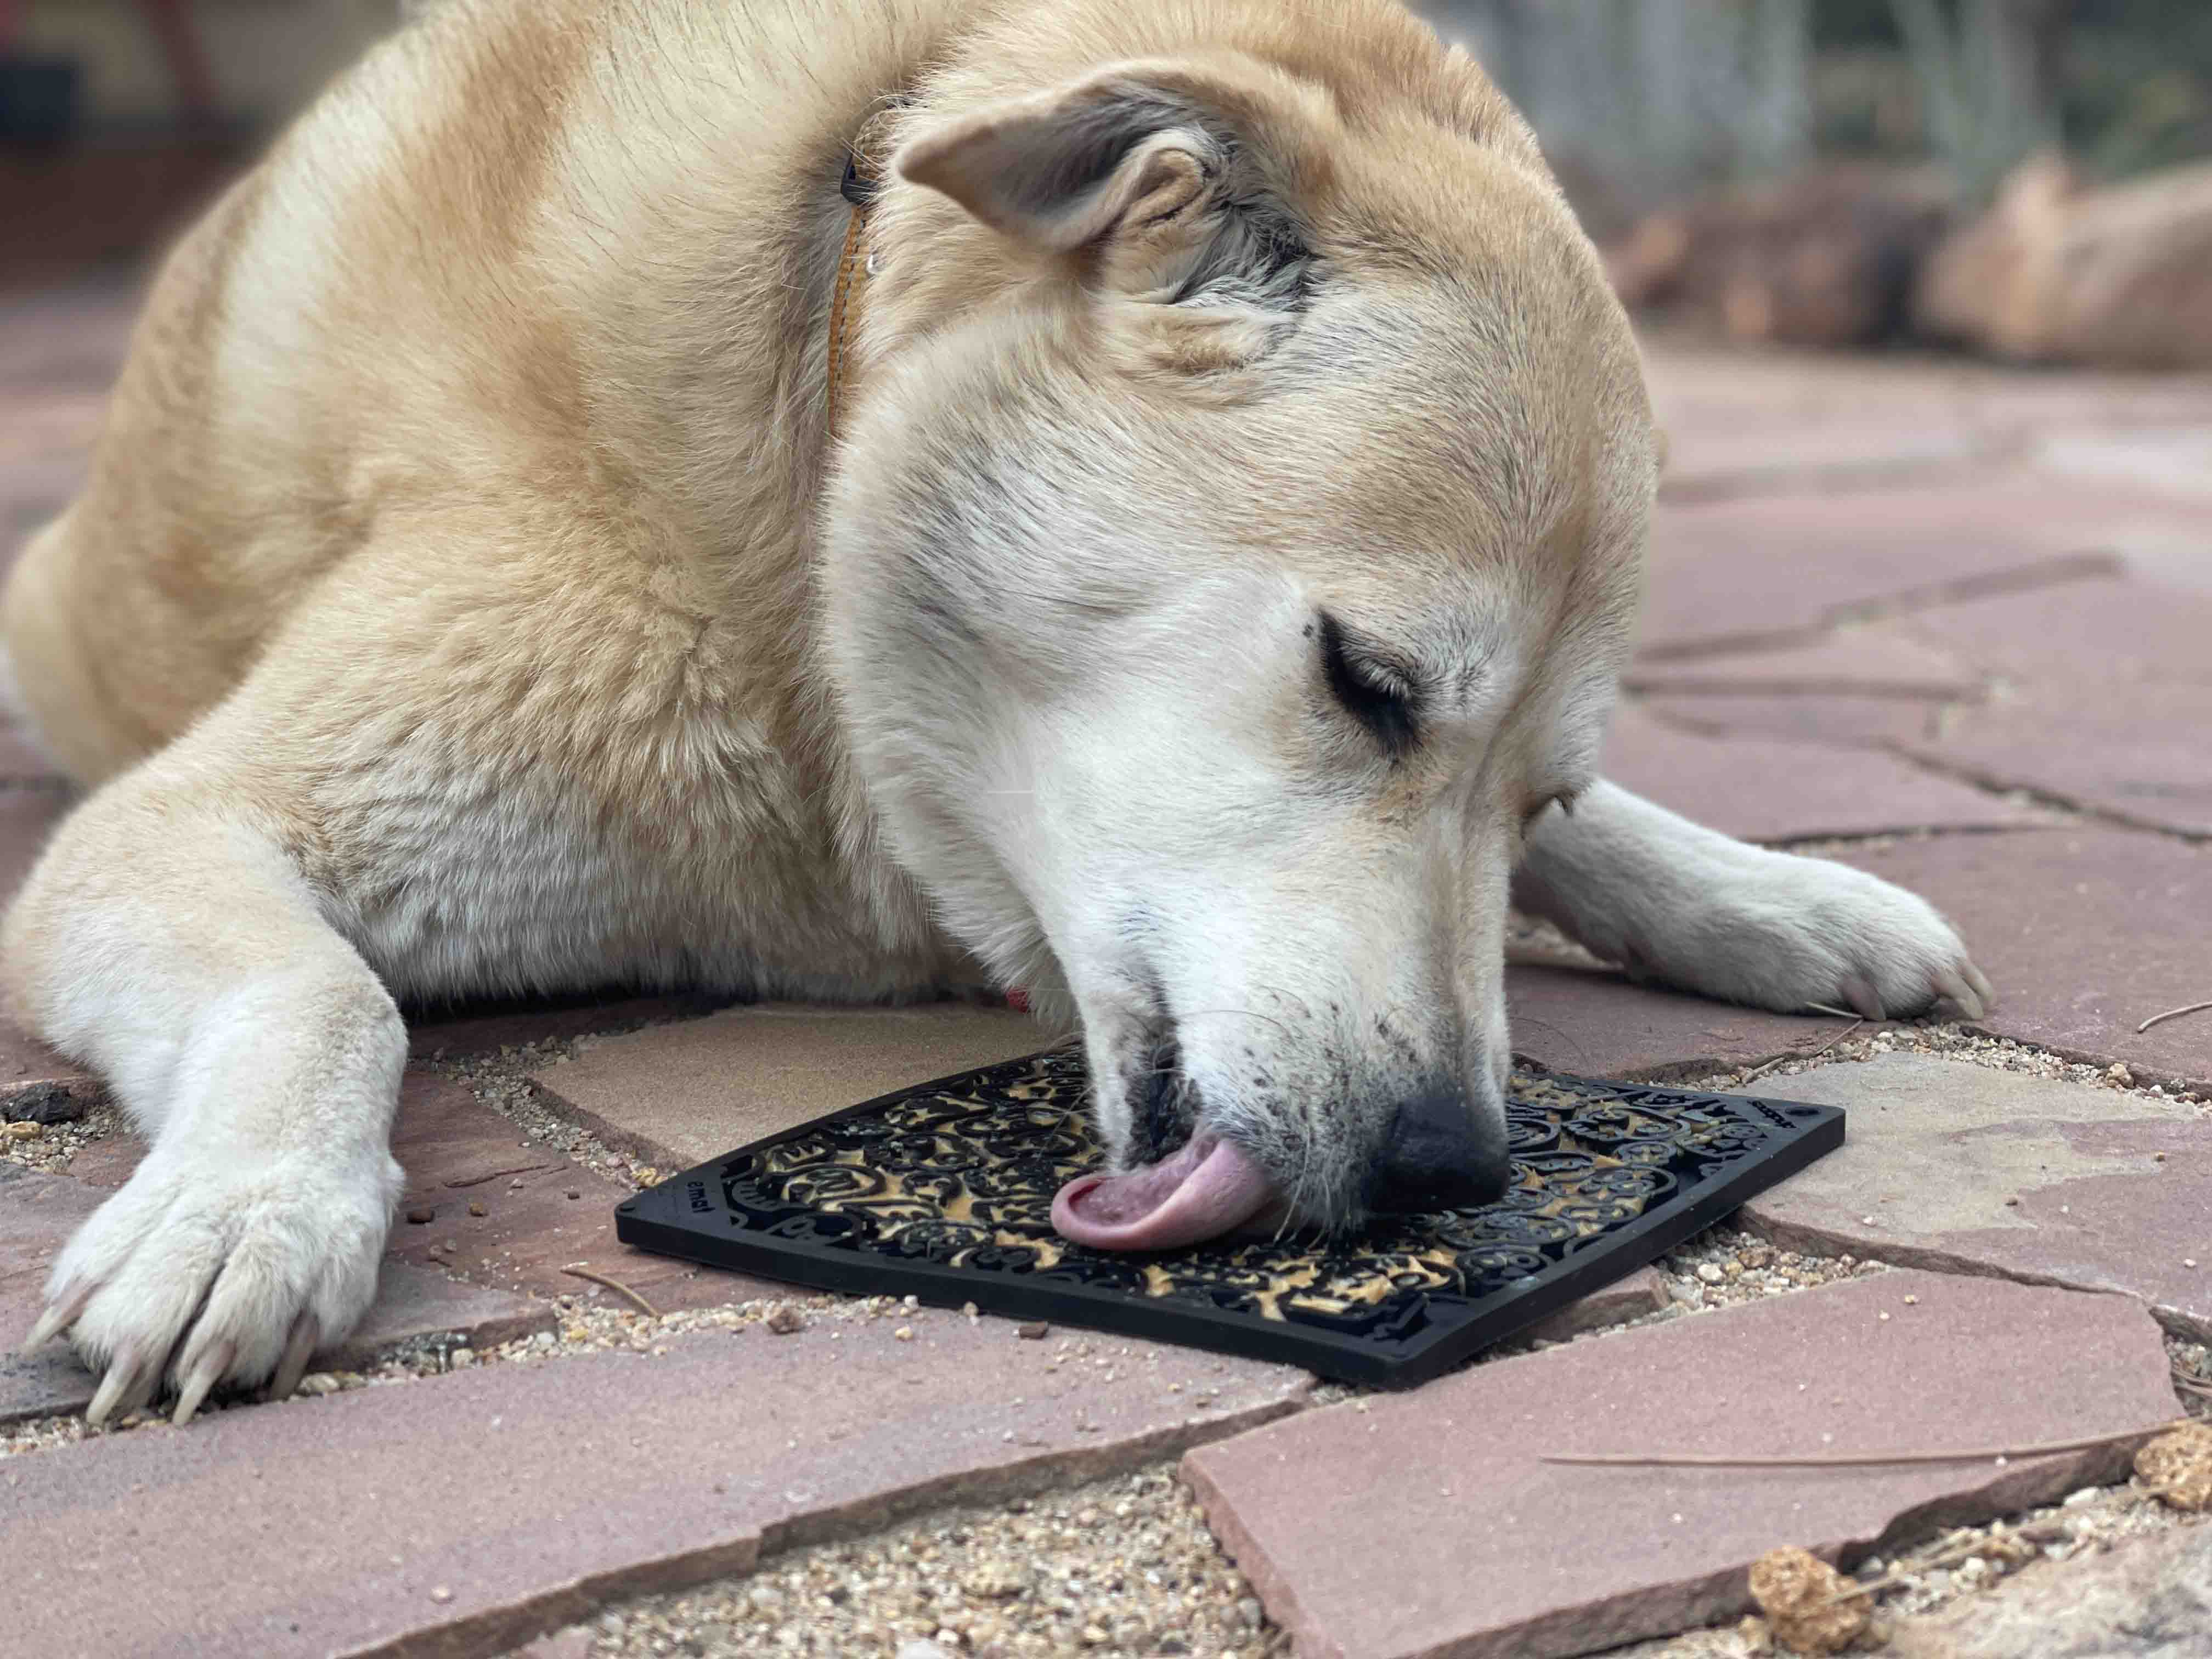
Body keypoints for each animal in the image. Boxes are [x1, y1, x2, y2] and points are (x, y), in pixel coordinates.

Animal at [0, 0, 1999, 1433]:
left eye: (1541, 799)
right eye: (1363, 680)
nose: (1450, 1168)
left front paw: (1784, 900)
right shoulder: (177, 826)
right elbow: (325, 995)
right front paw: (247, 1212)